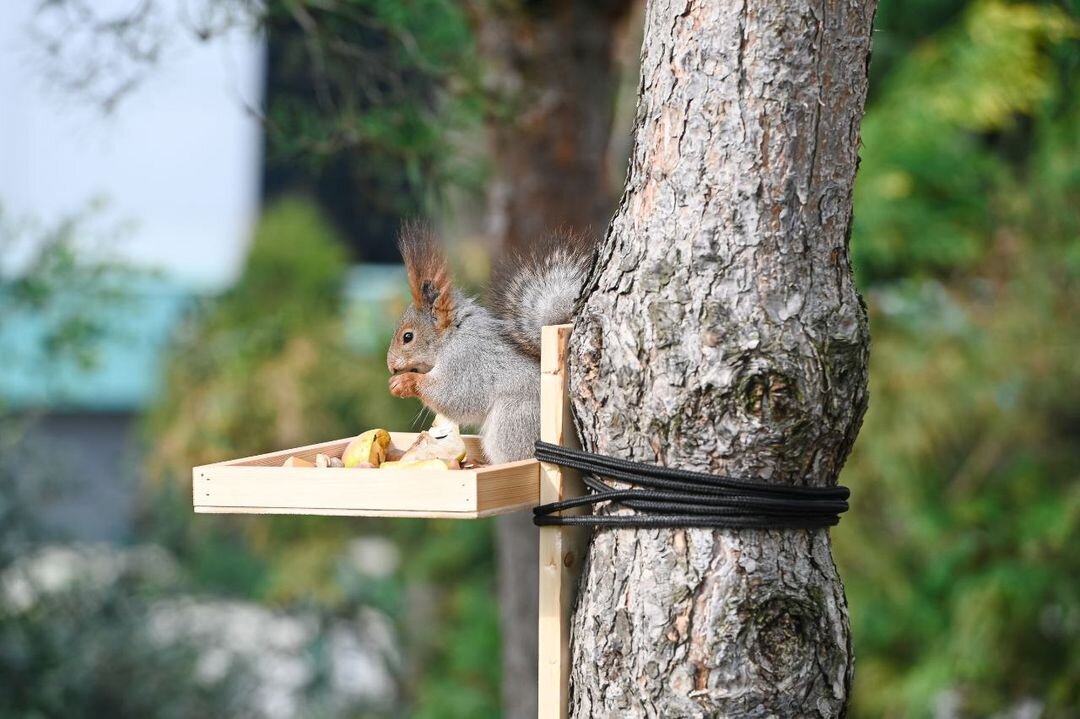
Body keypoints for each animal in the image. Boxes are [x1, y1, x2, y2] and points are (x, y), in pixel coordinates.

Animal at [386, 221, 596, 462]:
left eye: (407, 337)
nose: (391, 367)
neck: (450, 337)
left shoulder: (467, 360)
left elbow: (454, 395)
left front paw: (405, 382)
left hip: (513, 420)